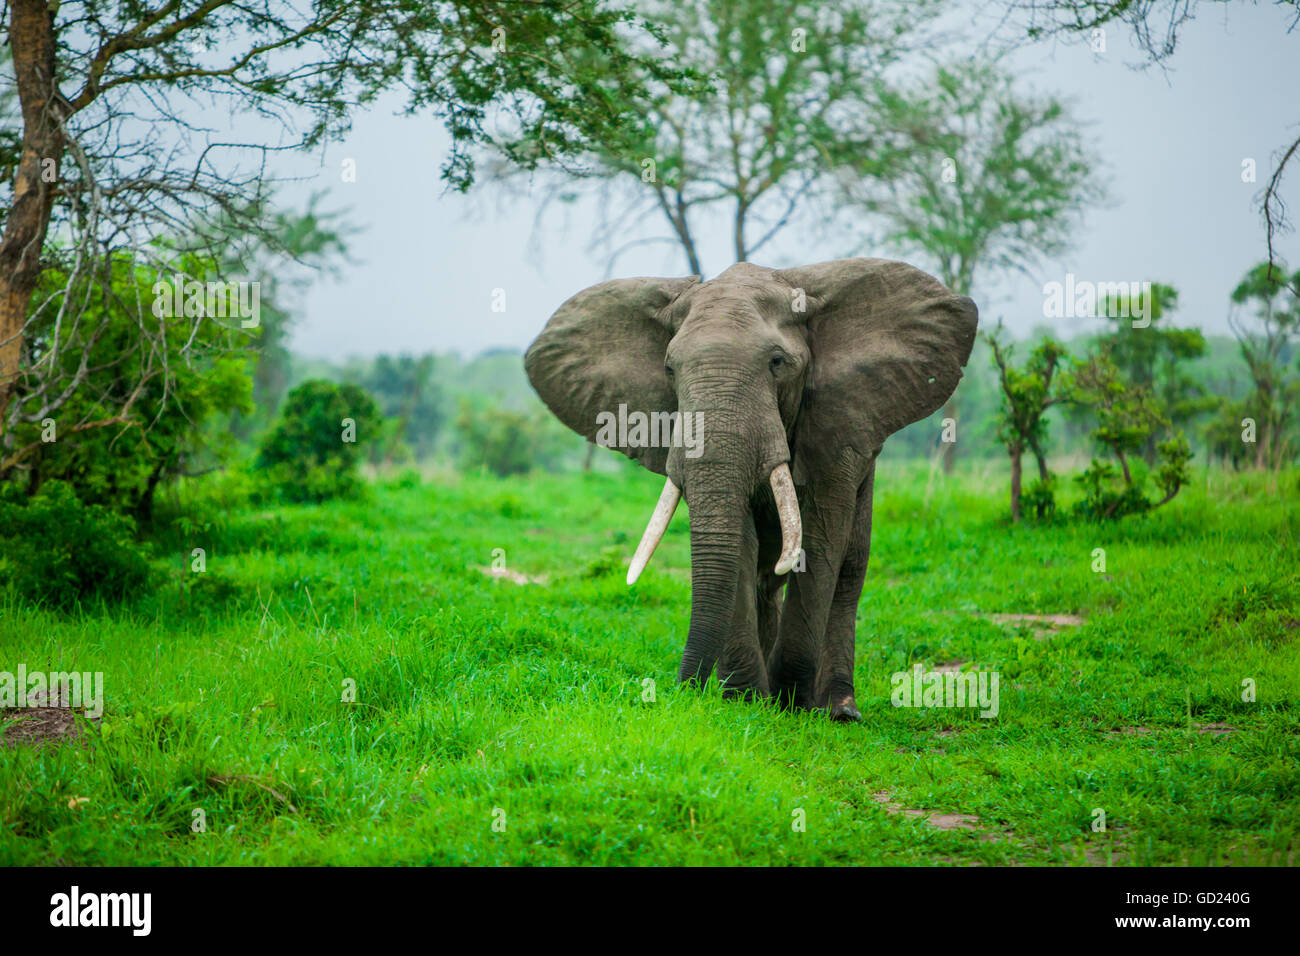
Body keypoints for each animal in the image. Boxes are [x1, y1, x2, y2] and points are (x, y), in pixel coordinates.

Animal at [520, 257, 977, 723]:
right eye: (669, 369)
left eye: (777, 362)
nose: (682, 691)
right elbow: (739, 541)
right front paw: (745, 700)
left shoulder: (835, 423)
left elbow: (821, 539)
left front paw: (790, 702)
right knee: (765, 578)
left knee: (850, 567)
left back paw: (839, 710)